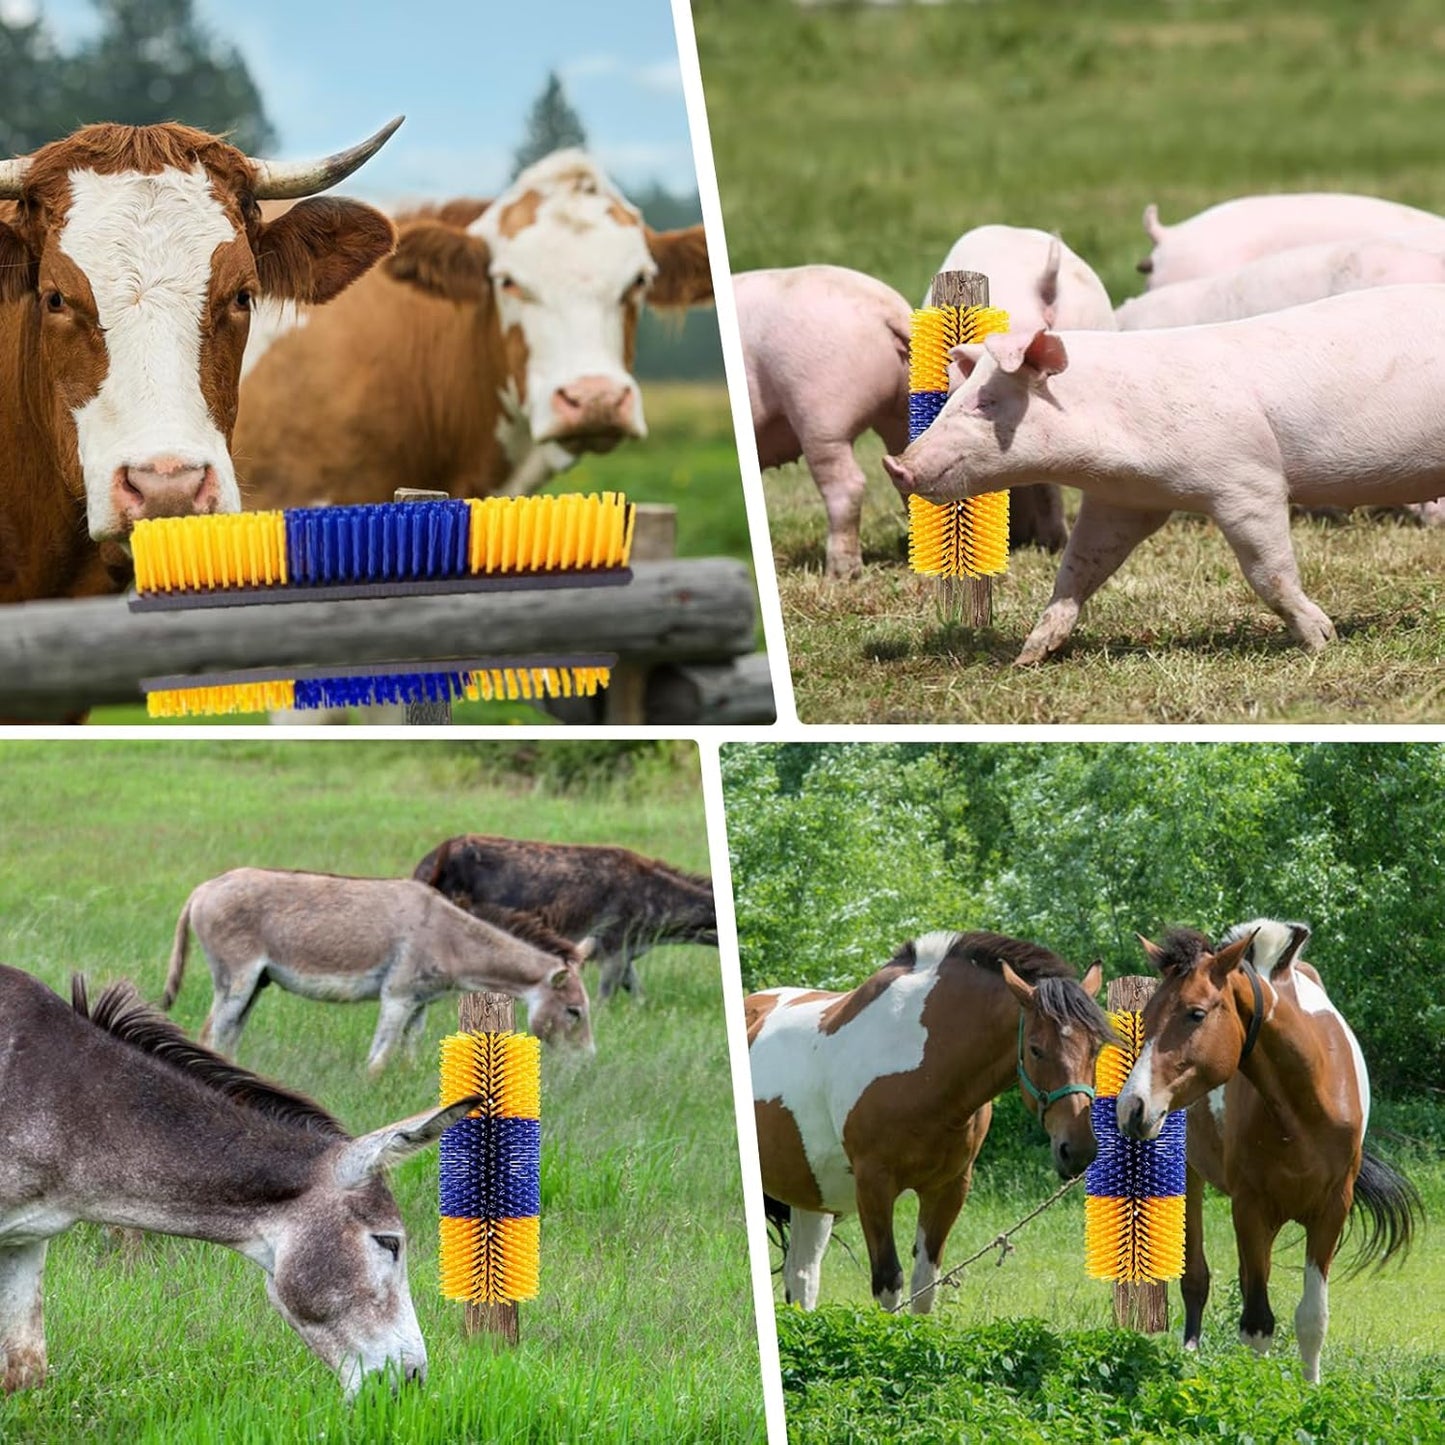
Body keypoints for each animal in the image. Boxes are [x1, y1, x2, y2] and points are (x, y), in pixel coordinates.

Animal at [747, 930, 1117, 1312]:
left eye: (1095, 1048)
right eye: (1035, 1049)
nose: (1078, 1149)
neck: (922, 1065)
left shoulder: (948, 1188)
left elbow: (925, 1286)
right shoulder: (873, 1185)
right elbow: (889, 1283)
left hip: (810, 1195)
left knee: (802, 1276)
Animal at [1117, 919, 1421, 1383]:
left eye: (1196, 1013)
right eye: (1146, 1017)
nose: (1132, 1107)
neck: (1305, 1103)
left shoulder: (1331, 1209)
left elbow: (1311, 1318)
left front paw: (1312, 1390)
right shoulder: (1250, 1208)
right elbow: (1258, 1322)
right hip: (1192, 1176)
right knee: (1197, 1278)